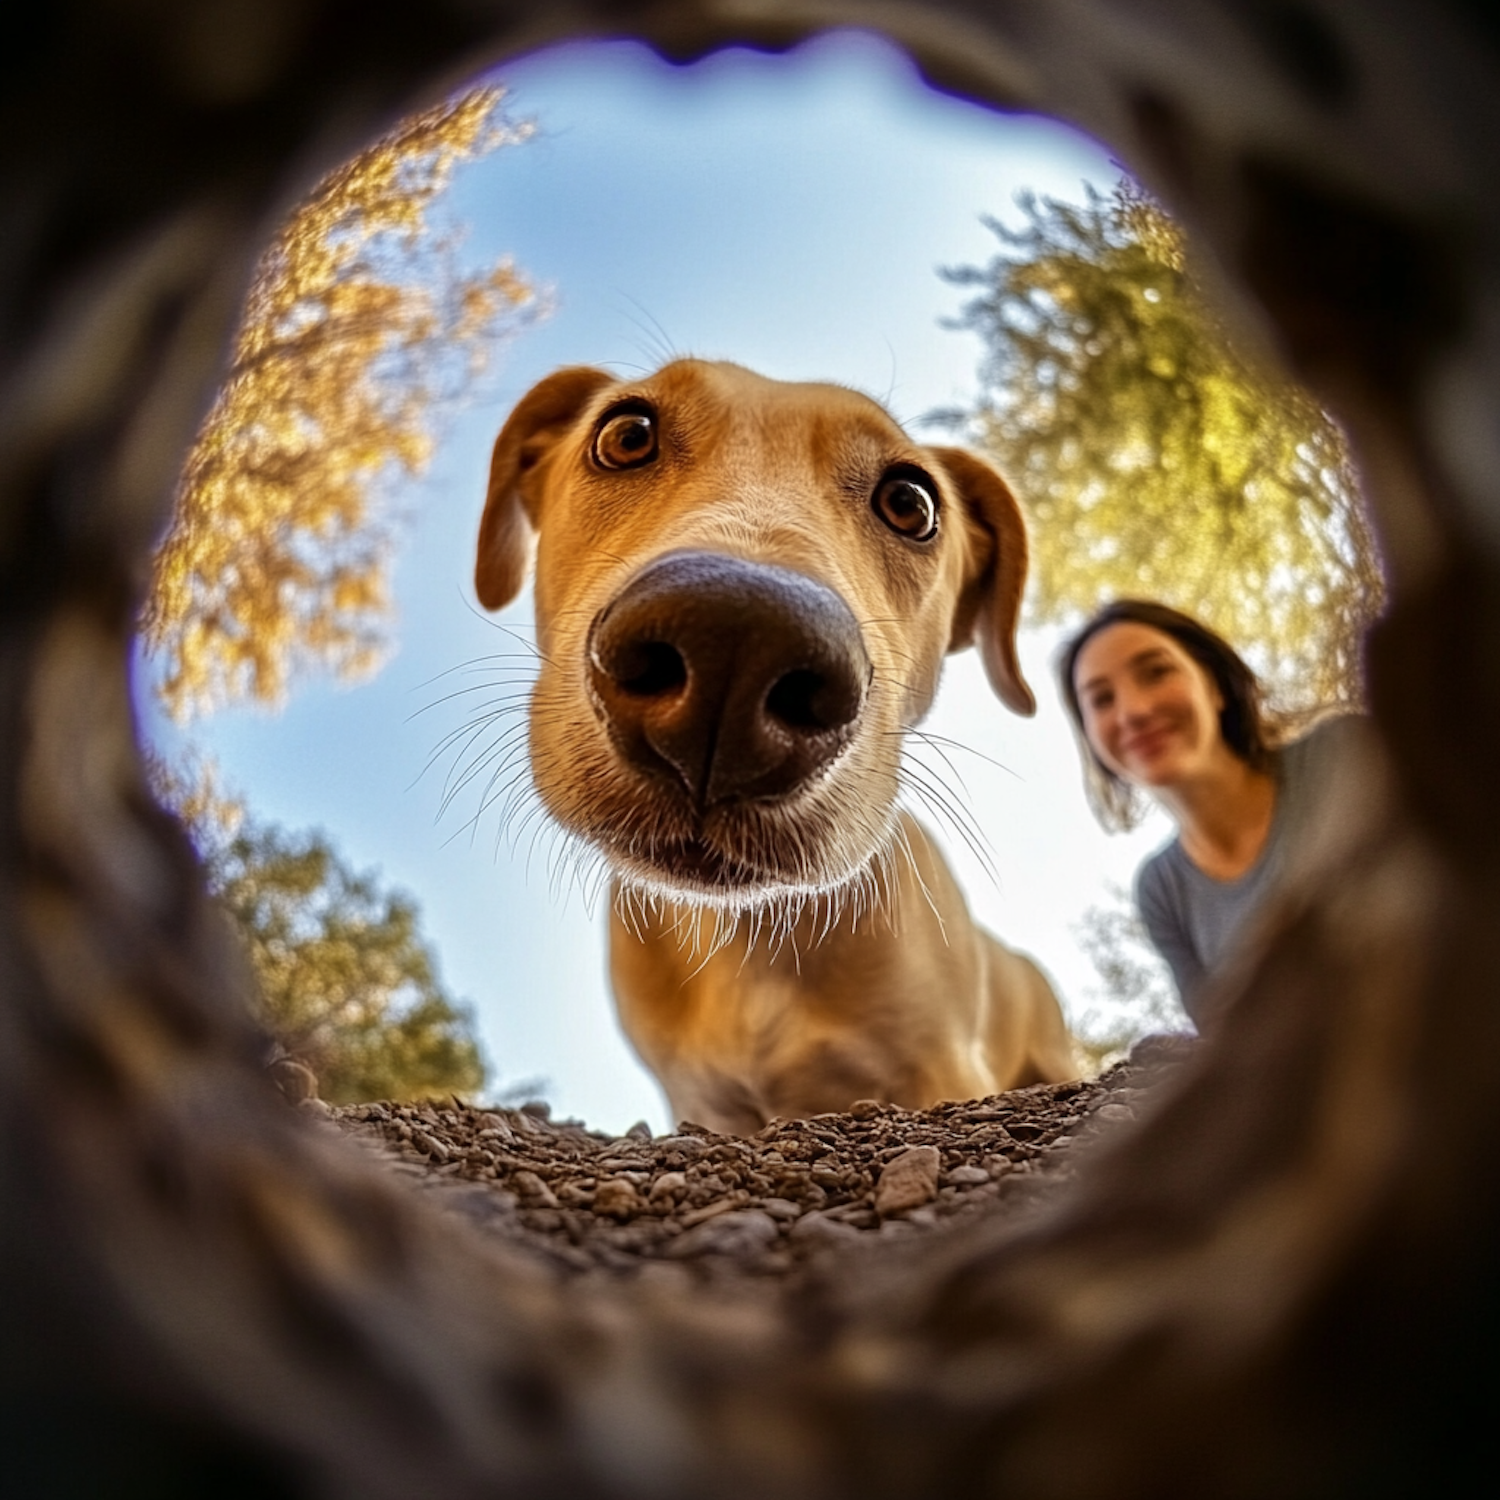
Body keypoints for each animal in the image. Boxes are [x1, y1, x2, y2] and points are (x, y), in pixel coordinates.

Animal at [474, 366, 1074, 1134]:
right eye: (627, 434)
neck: (747, 938)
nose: (735, 640)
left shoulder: (944, 1068)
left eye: (910, 503)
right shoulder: (704, 1106)